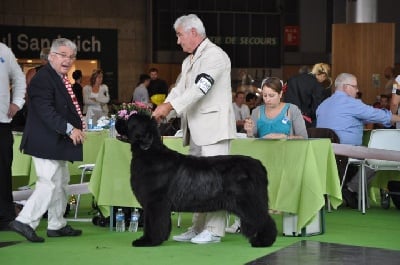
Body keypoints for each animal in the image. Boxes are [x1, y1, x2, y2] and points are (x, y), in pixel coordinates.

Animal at [117, 112, 276, 246]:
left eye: (129, 120)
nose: (118, 119)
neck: (149, 153)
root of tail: (258, 165)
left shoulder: (155, 202)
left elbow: (153, 223)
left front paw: (148, 241)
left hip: (247, 200)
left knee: (263, 219)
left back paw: (263, 241)